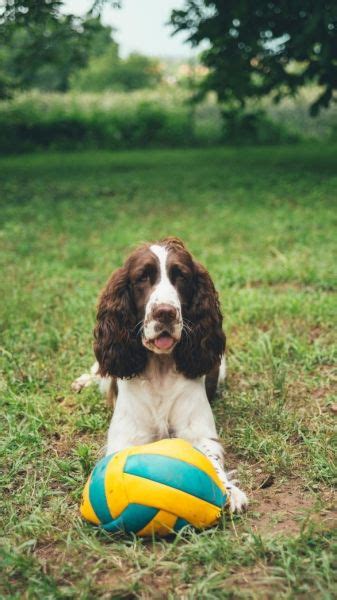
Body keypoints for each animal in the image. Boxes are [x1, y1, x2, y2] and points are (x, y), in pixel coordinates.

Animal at [73, 237, 247, 508]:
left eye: (181, 276)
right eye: (142, 277)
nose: (165, 312)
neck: (161, 371)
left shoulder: (199, 433)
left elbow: (209, 459)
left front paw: (229, 491)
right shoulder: (126, 437)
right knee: (98, 372)